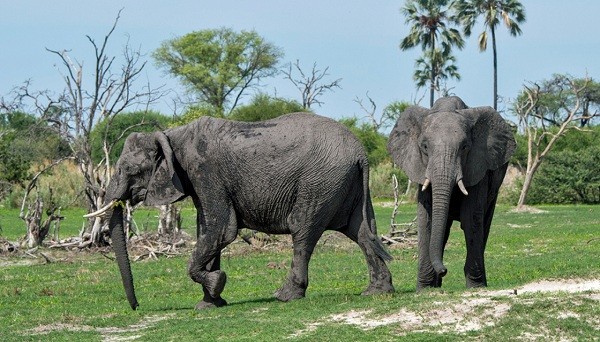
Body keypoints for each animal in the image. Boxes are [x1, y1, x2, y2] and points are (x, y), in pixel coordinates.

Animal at [85, 112, 394, 310]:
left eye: (131, 170)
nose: (137, 306)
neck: (172, 137)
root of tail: (361, 153)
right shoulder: (198, 181)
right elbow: (207, 231)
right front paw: (209, 304)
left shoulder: (206, 172)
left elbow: (221, 230)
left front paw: (216, 285)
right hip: (344, 184)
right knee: (361, 232)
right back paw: (376, 293)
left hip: (319, 183)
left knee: (303, 232)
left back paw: (285, 296)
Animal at [390, 97, 516, 292]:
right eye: (424, 147)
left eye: (464, 147)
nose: (444, 271)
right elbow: (427, 218)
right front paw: (424, 290)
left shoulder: (477, 167)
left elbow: (471, 217)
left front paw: (475, 287)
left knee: (484, 222)